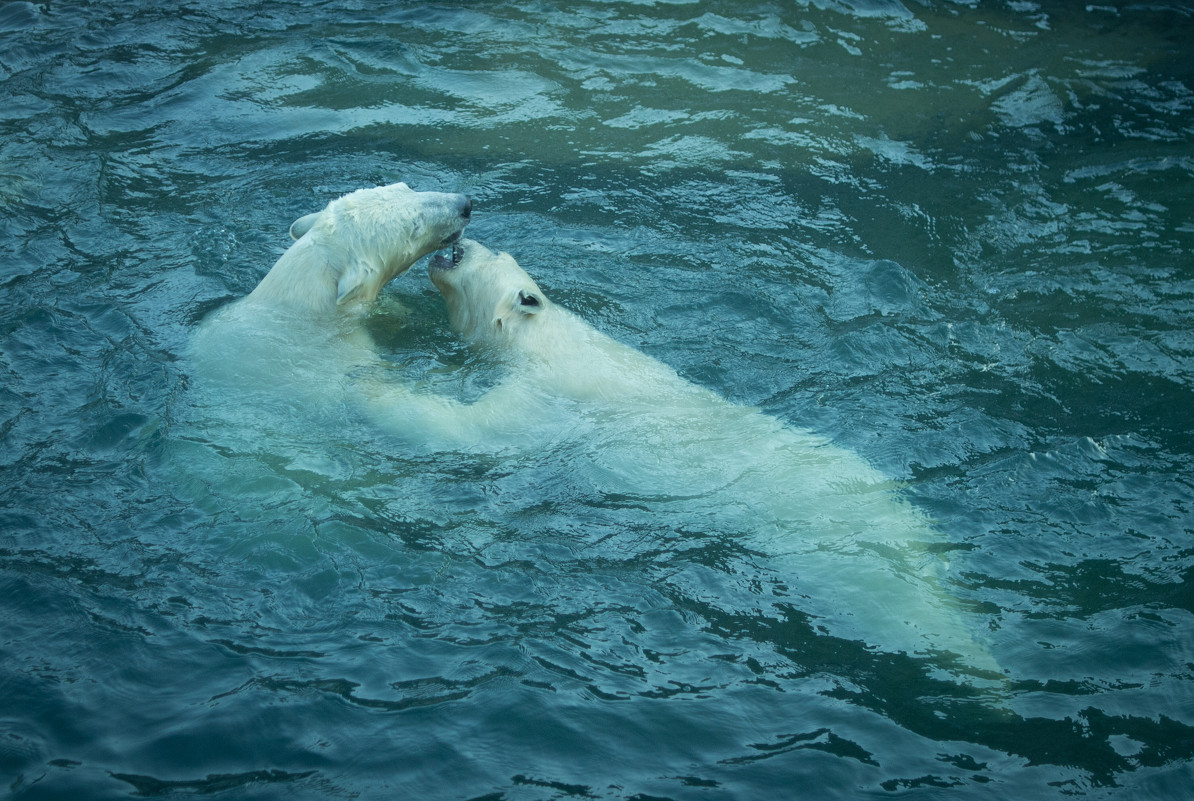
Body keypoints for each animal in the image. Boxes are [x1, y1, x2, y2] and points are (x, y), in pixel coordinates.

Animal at [365, 241, 1007, 678]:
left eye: (493, 255)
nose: (462, 241)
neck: (543, 338)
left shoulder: (548, 398)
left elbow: (464, 429)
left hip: (831, 548)